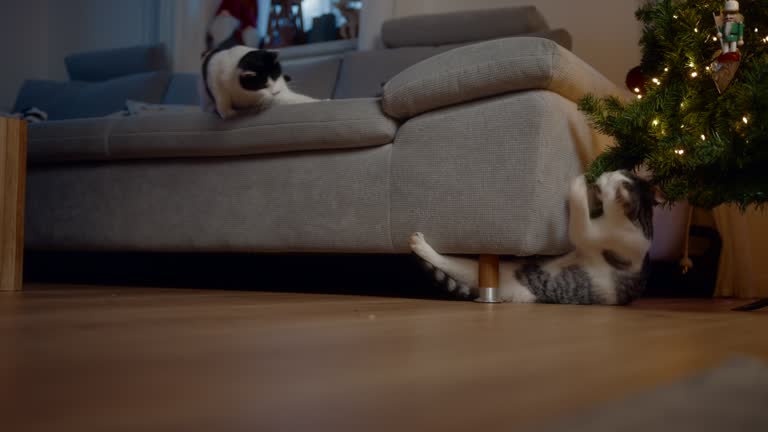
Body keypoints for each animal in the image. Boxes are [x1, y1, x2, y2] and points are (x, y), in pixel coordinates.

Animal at [408, 170, 656, 306]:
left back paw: (420, 245)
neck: (639, 223)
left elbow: (580, 225)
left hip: (507, 281)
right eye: (614, 172)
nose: (601, 173)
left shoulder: (594, 236)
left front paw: (577, 184)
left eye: (609, 180)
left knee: (450, 264)